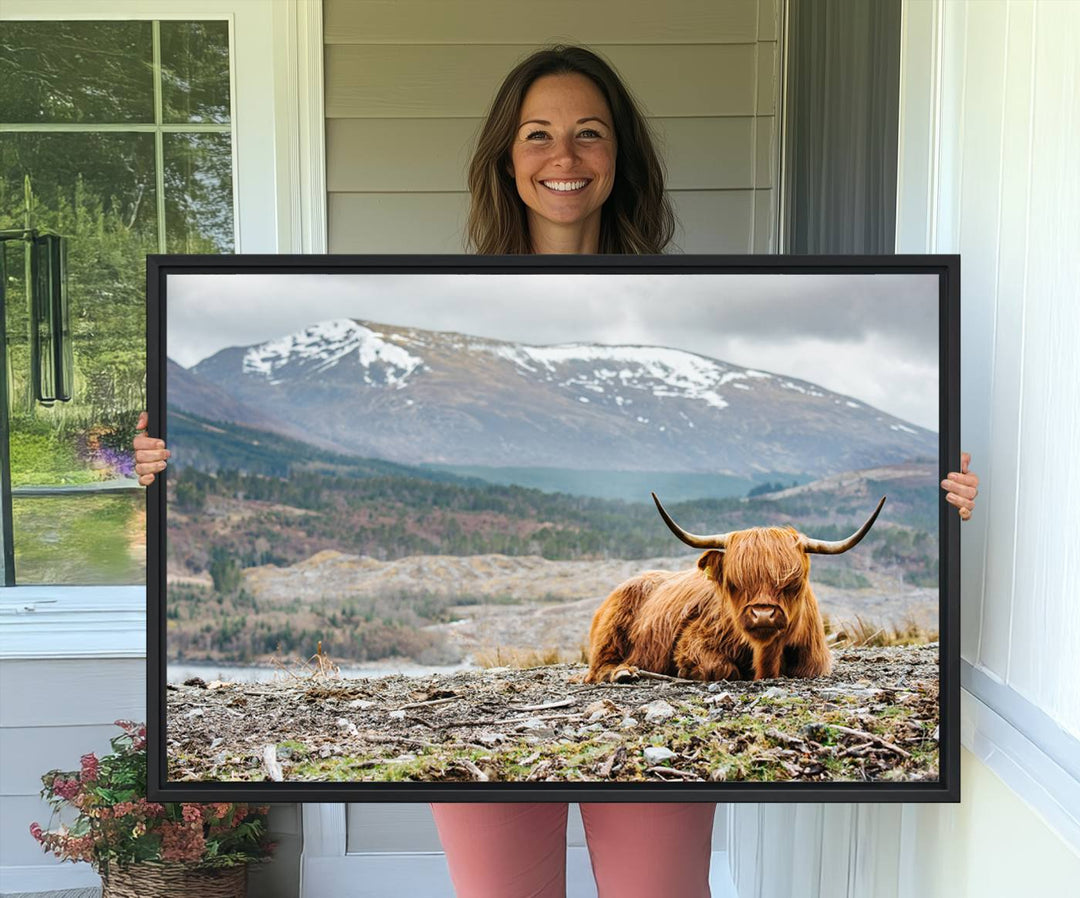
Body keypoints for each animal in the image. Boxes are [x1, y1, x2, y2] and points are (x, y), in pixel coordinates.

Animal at [587, 492, 881, 682]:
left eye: (793, 582)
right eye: (734, 582)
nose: (763, 615)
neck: (766, 658)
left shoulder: (815, 662)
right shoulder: (693, 642)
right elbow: (721, 668)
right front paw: (687, 672)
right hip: (610, 632)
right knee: (598, 667)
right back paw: (623, 673)